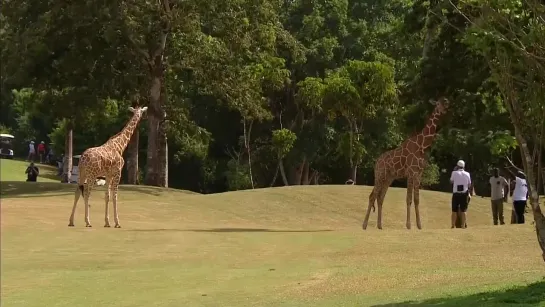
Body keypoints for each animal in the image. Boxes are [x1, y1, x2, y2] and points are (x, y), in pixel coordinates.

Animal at [364, 97, 448, 230]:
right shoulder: (411, 172)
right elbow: (408, 199)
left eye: (446, 102)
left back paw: (380, 225)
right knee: (372, 196)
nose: (445, 107)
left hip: (388, 178)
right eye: (438, 103)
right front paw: (408, 225)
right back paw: (364, 225)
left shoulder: (419, 173)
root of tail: (376, 162)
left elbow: (417, 199)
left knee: (380, 197)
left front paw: (419, 225)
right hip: (380, 175)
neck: (422, 145)